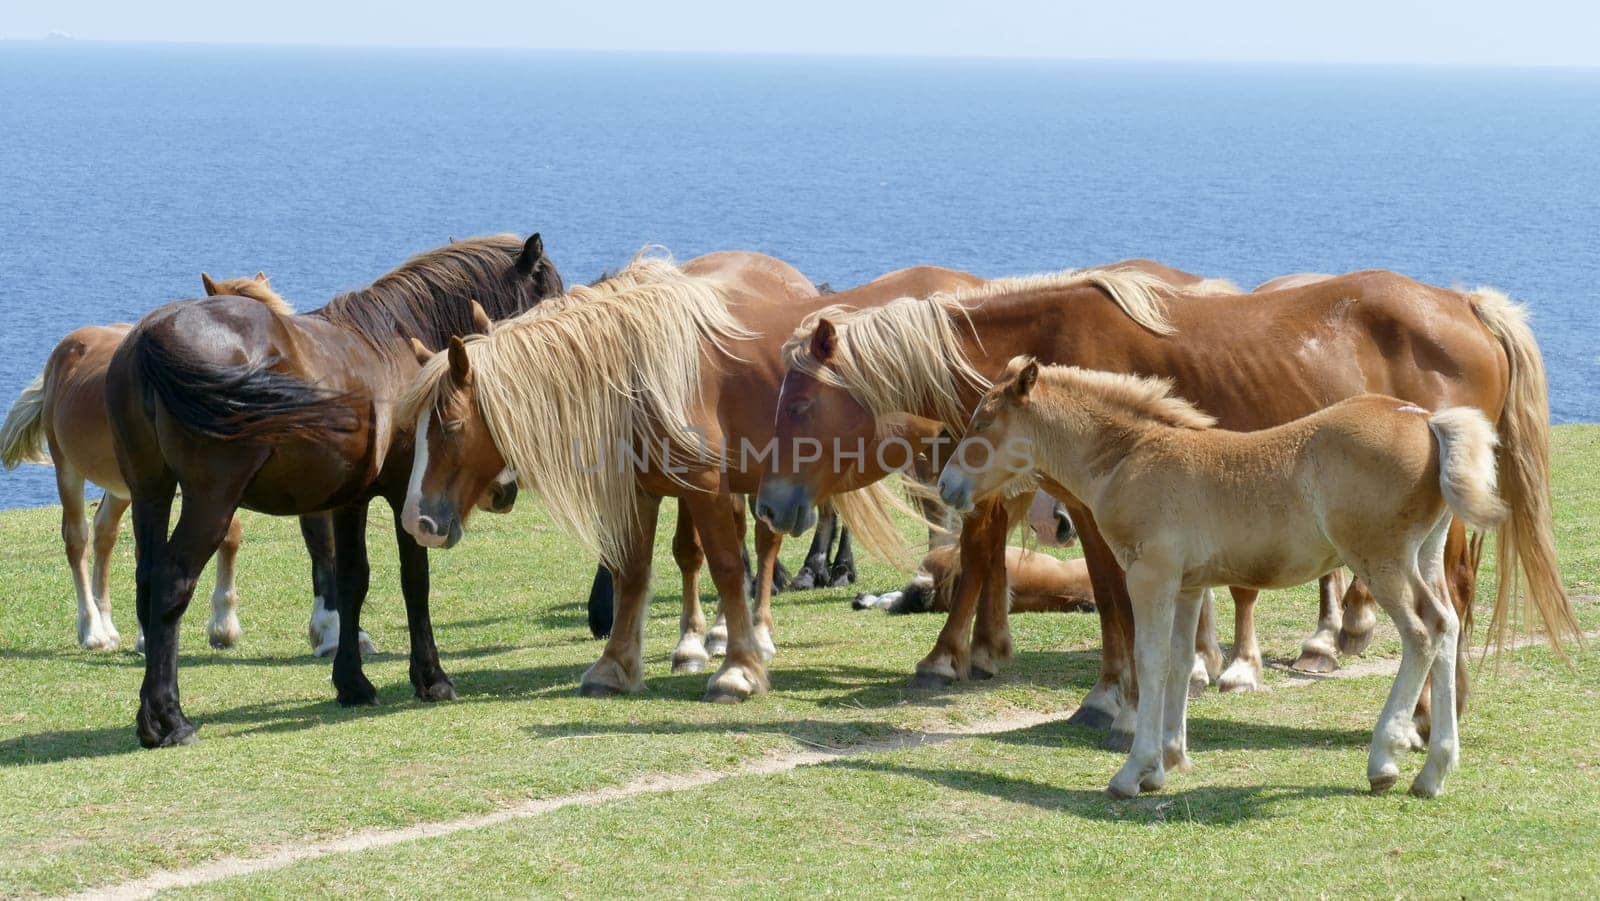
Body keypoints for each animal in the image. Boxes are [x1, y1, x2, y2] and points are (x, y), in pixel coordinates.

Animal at [1, 272, 374, 659]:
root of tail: (65, 350)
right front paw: (210, 626)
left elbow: (292, 541)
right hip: (70, 470)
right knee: (78, 539)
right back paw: (93, 630)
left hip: (124, 486)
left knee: (106, 534)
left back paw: (111, 626)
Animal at [103, 232, 560, 748]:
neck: (398, 350)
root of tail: (151, 339)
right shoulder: (407, 495)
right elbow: (414, 582)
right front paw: (431, 678)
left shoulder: (350, 501)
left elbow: (351, 580)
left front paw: (353, 681)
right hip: (210, 500)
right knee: (170, 584)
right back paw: (171, 718)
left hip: (151, 492)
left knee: (146, 582)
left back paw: (149, 718)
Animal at [934, 358, 1574, 796]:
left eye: (982, 420)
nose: (946, 486)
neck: (1130, 456)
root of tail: (1427, 421)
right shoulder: (1188, 583)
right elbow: (1180, 663)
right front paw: (1167, 763)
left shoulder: (1151, 575)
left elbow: (1151, 662)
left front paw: (1131, 771)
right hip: (1424, 554)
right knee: (1446, 626)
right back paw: (1434, 771)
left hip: (1382, 559)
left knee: (1423, 633)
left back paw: (1386, 761)